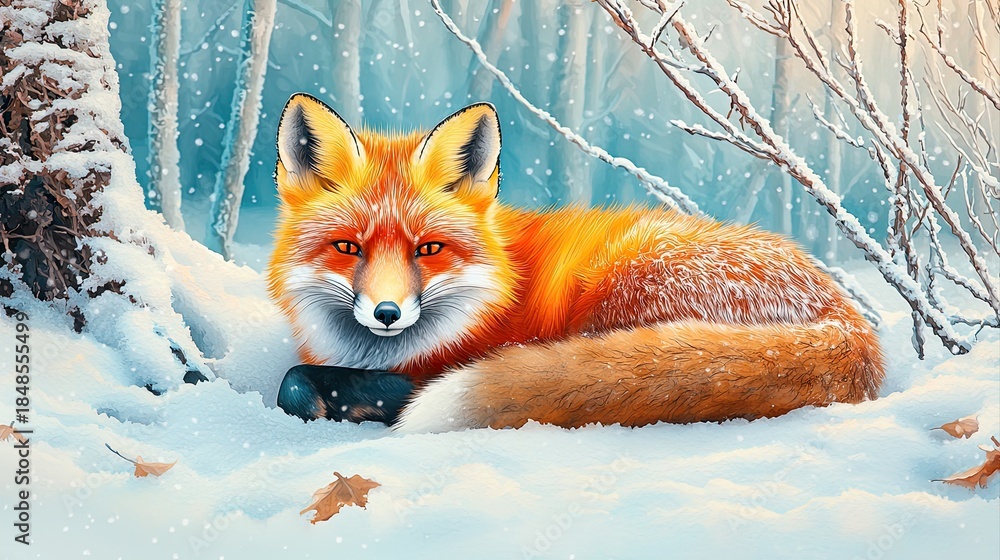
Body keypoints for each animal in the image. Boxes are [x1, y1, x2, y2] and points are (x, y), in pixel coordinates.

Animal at [267, 93, 884, 433]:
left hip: (618, 287)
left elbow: (296, 383)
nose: (388, 313)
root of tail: (849, 321)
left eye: (429, 249)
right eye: (349, 248)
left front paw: (361, 400)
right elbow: (294, 381)